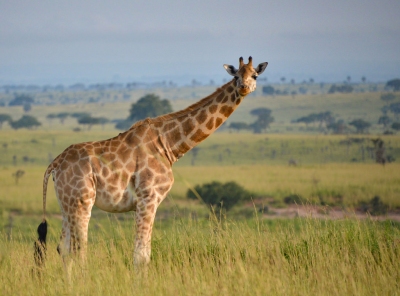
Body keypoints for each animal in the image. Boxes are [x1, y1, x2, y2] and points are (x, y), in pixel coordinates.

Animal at [35, 55, 268, 270]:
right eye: (236, 76)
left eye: (255, 75)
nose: (244, 87)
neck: (169, 145)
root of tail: (55, 164)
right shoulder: (148, 198)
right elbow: (141, 256)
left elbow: (143, 253)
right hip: (82, 201)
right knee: (79, 250)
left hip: (67, 202)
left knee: (63, 248)